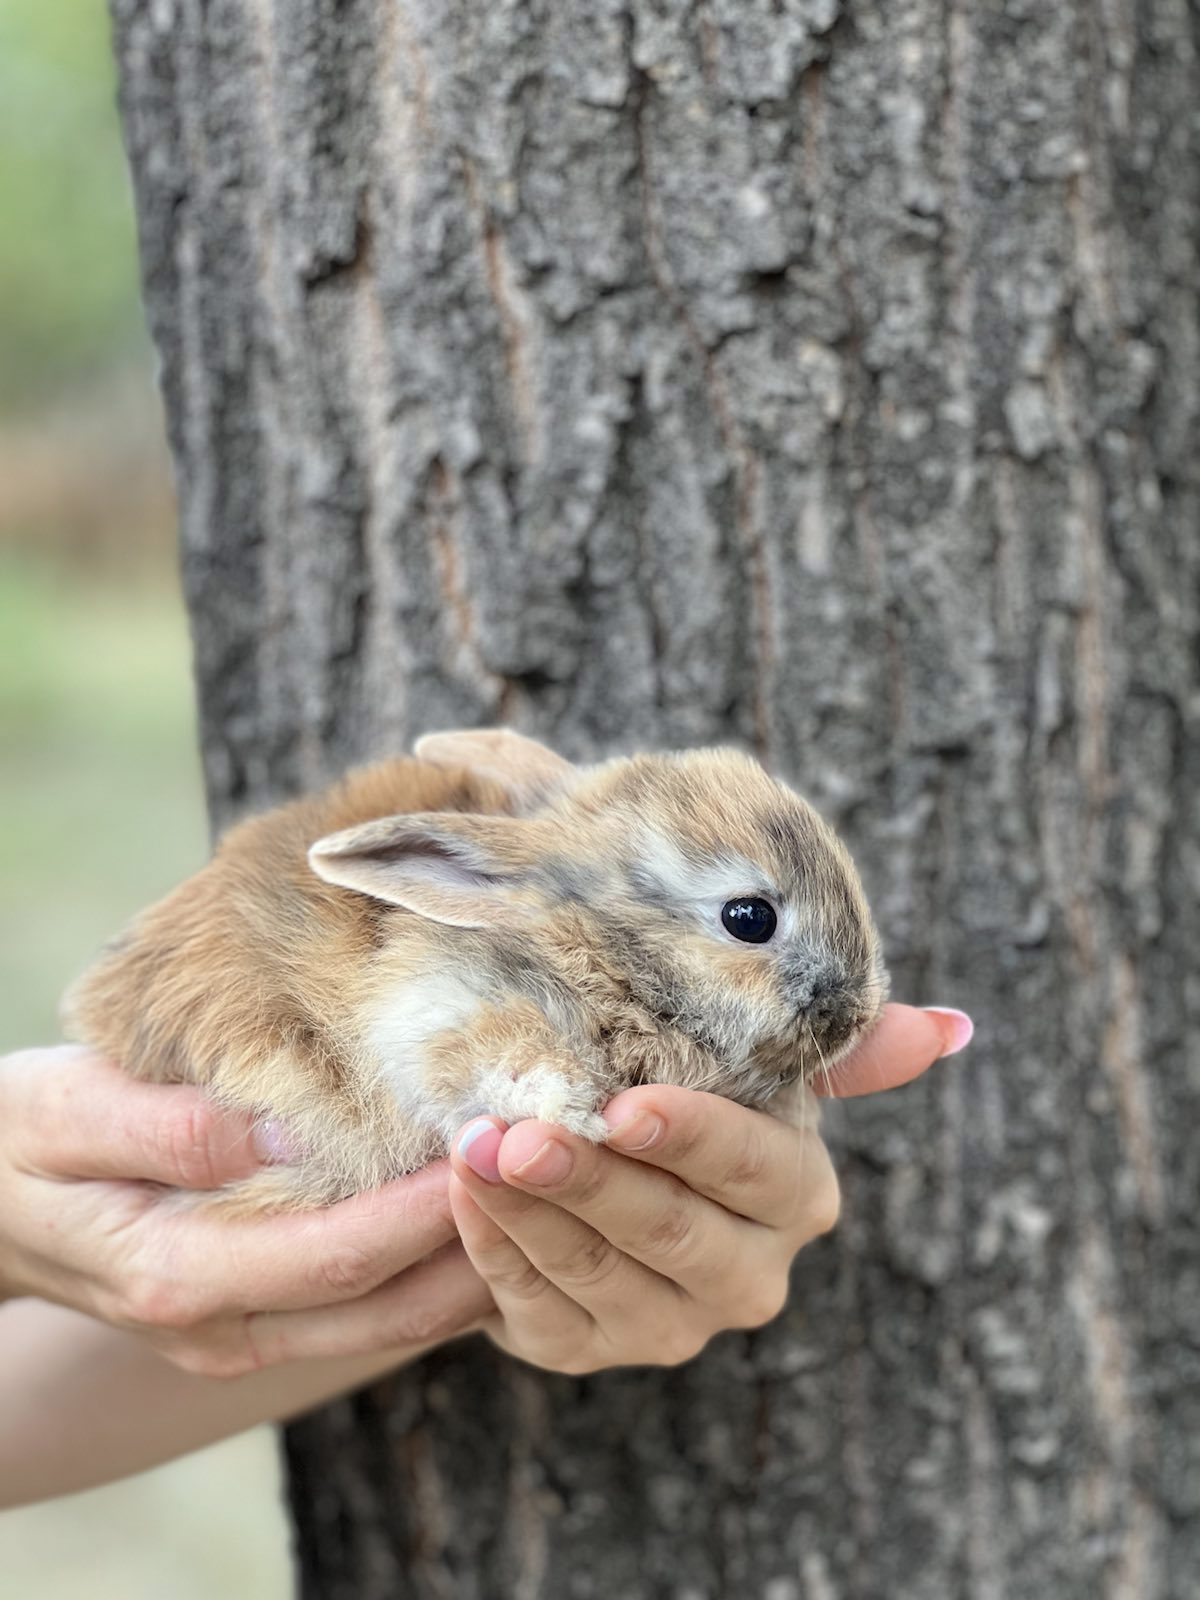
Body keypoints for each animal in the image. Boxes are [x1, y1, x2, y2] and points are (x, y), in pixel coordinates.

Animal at [65, 732, 889, 1203]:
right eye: (749, 918)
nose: (857, 1016)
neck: (597, 952)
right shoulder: (444, 1007)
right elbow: (491, 1061)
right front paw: (571, 1111)